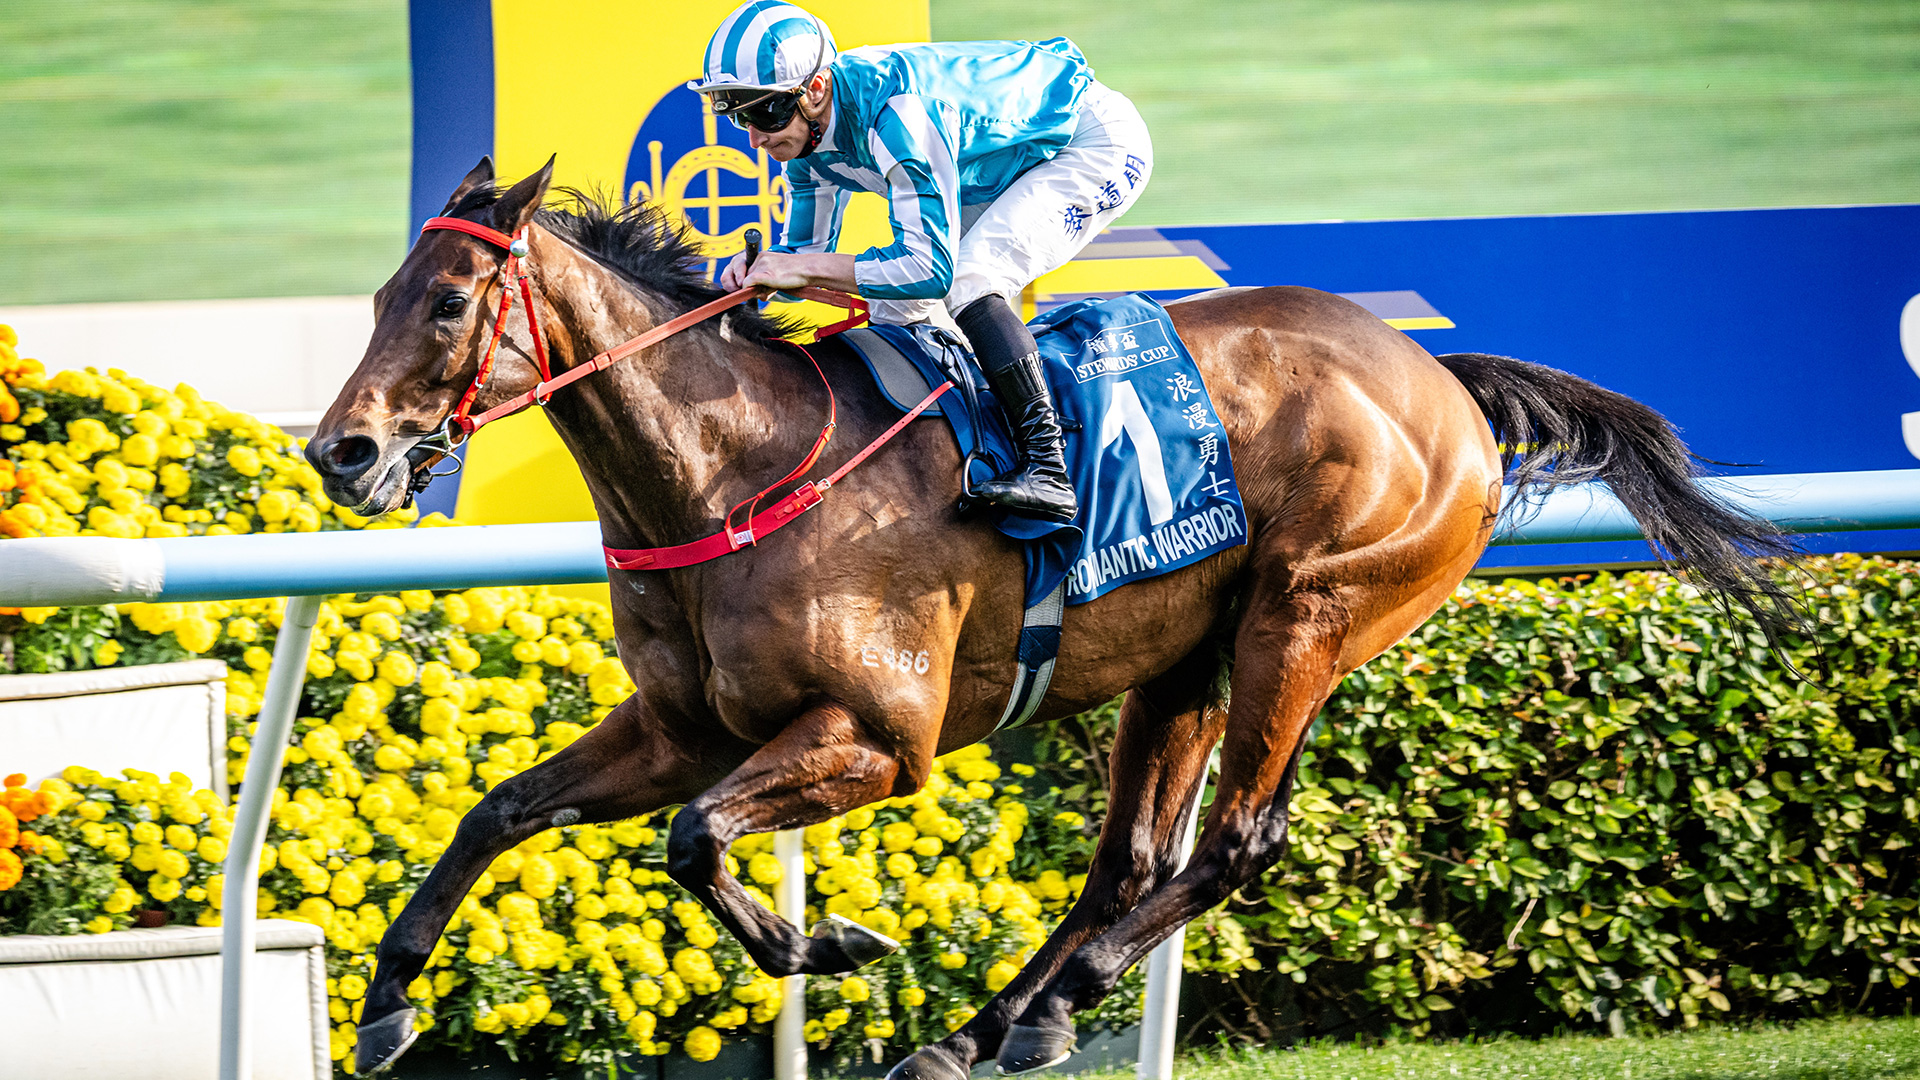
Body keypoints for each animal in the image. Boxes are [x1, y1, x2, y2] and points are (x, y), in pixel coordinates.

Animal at [307, 157, 1797, 1076]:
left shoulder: (879, 738)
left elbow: (695, 840)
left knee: (1239, 839)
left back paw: (1051, 1006)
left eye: (448, 300)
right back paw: (985, 1030)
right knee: (1129, 863)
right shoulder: (684, 730)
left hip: (1307, 617)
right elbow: (502, 810)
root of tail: (1435, 374)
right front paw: (383, 1006)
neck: (736, 472)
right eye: (374, 296)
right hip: (1184, 658)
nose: (343, 454)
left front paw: (827, 943)